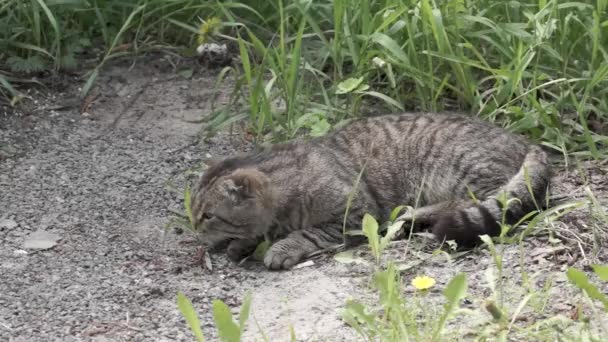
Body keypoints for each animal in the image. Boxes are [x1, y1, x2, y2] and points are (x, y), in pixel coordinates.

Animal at [190, 113, 552, 270]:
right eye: (195, 211)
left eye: (207, 215)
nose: (194, 228)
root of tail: (527, 142)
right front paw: (244, 242)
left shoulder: (355, 213)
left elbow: (309, 233)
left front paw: (281, 246)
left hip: (461, 171)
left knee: (469, 202)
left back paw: (412, 217)